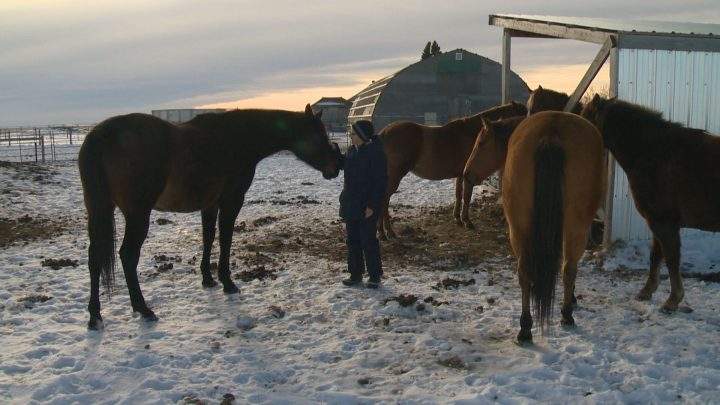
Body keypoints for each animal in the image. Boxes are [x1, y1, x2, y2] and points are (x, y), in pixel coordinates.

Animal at [78, 104, 341, 329]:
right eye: (319, 135)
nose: (336, 167)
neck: (236, 139)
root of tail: (103, 135)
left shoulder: (210, 205)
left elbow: (208, 237)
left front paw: (208, 279)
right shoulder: (231, 201)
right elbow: (225, 239)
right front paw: (227, 282)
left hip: (99, 209)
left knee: (94, 257)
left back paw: (95, 317)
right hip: (137, 214)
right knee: (128, 255)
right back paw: (143, 309)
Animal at [376, 101, 527, 239]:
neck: (469, 132)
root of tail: (383, 134)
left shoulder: (461, 175)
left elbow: (458, 195)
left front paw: (458, 219)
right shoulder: (468, 176)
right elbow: (466, 196)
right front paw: (467, 221)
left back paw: (383, 232)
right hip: (395, 176)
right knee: (384, 200)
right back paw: (387, 232)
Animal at [465, 112, 605, 343]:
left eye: (481, 143)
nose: (466, 174)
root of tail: (551, 131)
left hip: (519, 228)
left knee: (526, 272)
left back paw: (526, 327)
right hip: (576, 227)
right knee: (568, 268)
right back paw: (565, 315)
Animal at [582, 95, 720, 313]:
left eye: (585, 118)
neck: (654, 154)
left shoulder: (663, 222)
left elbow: (671, 259)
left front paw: (672, 300)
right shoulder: (656, 222)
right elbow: (656, 255)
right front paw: (647, 292)